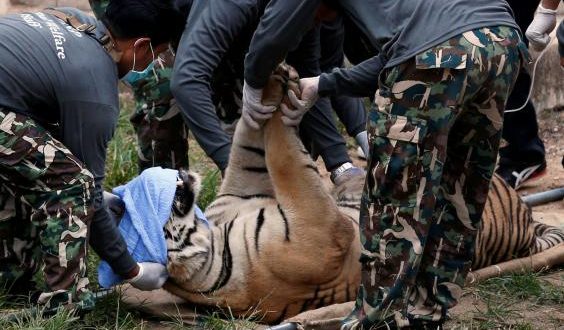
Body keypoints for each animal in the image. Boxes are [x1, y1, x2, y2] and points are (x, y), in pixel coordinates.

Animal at [162, 63, 564, 322]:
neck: (218, 242)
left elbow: (252, 136)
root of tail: (526, 216)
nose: (178, 174)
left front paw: (274, 83)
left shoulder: (241, 189)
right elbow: (285, 156)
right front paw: (286, 94)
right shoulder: (321, 231)